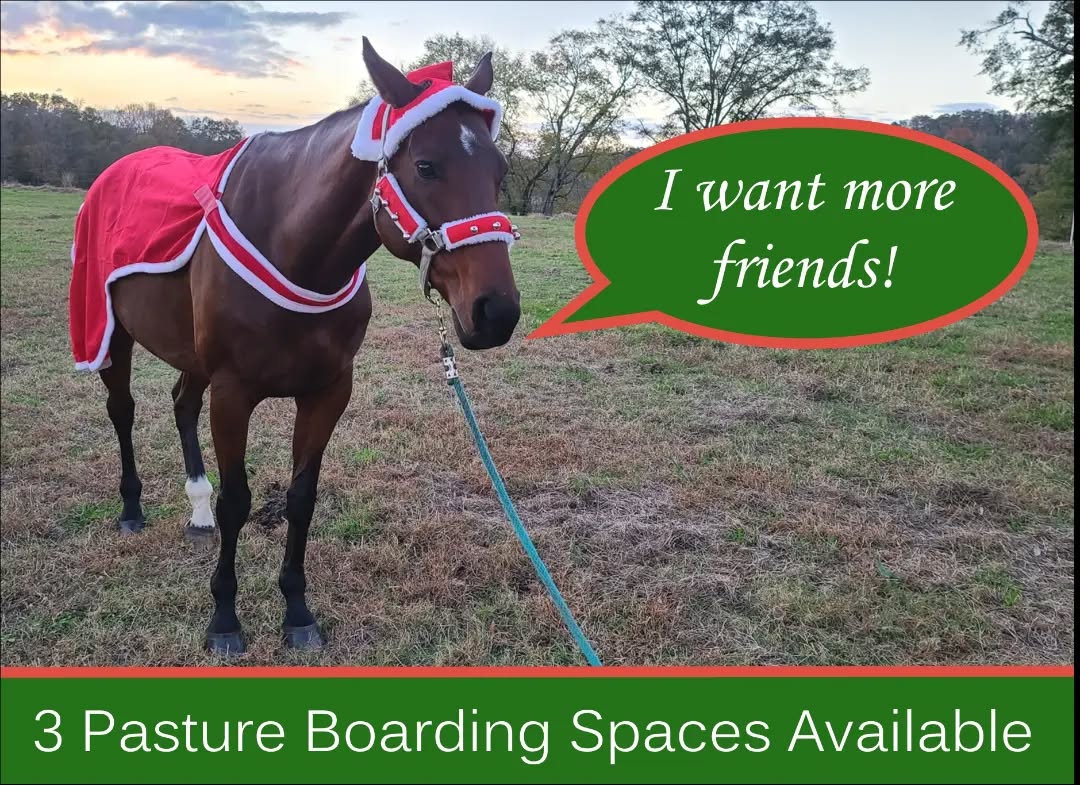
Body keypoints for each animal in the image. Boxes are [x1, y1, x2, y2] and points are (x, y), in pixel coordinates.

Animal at [68, 38, 522, 655]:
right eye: (426, 165)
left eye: (500, 169)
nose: (496, 313)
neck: (291, 247)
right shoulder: (233, 393)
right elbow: (239, 501)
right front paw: (225, 619)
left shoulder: (328, 391)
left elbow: (302, 498)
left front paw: (298, 611)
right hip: (113, 335)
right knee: (123, 410)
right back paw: (133, 508)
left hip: (191, 356)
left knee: (182, 403)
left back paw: (196, 507)